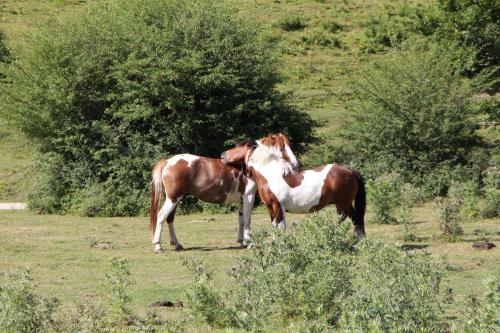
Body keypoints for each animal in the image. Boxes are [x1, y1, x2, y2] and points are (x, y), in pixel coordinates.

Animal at [148, 140, 296, 252]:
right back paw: (158, 246)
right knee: (161, 216)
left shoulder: (242, 200)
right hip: (173, 199)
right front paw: (248, 242)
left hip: (175, 199)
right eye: (283, 148)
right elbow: (247, 220)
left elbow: (241, 220)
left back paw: (177, 244)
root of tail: (168, 161)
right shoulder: (249, 197)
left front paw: (241, 241)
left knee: (169, 219)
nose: (295, 164)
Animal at [221, 134, 366, 236]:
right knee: (355, 220)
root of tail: (350, 171)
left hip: (342, 205)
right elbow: (274, 227)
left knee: (350, 220)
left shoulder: (278, 207)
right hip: (344, 205)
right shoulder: (270, 208)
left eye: (238, 147)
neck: (271, 174)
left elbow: (281, 228)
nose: (222, 155)